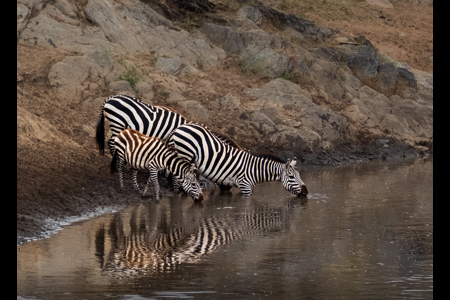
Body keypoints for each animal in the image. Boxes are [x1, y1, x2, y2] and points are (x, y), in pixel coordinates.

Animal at [165, 122, 310, 197]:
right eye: (291, 177)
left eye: (298, 175)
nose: (306, 192)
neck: (255, 170)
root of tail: (178, 128)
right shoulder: (245, 186)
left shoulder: (225, 184)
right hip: (184, 154)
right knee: (177, 176)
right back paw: (178, 193)